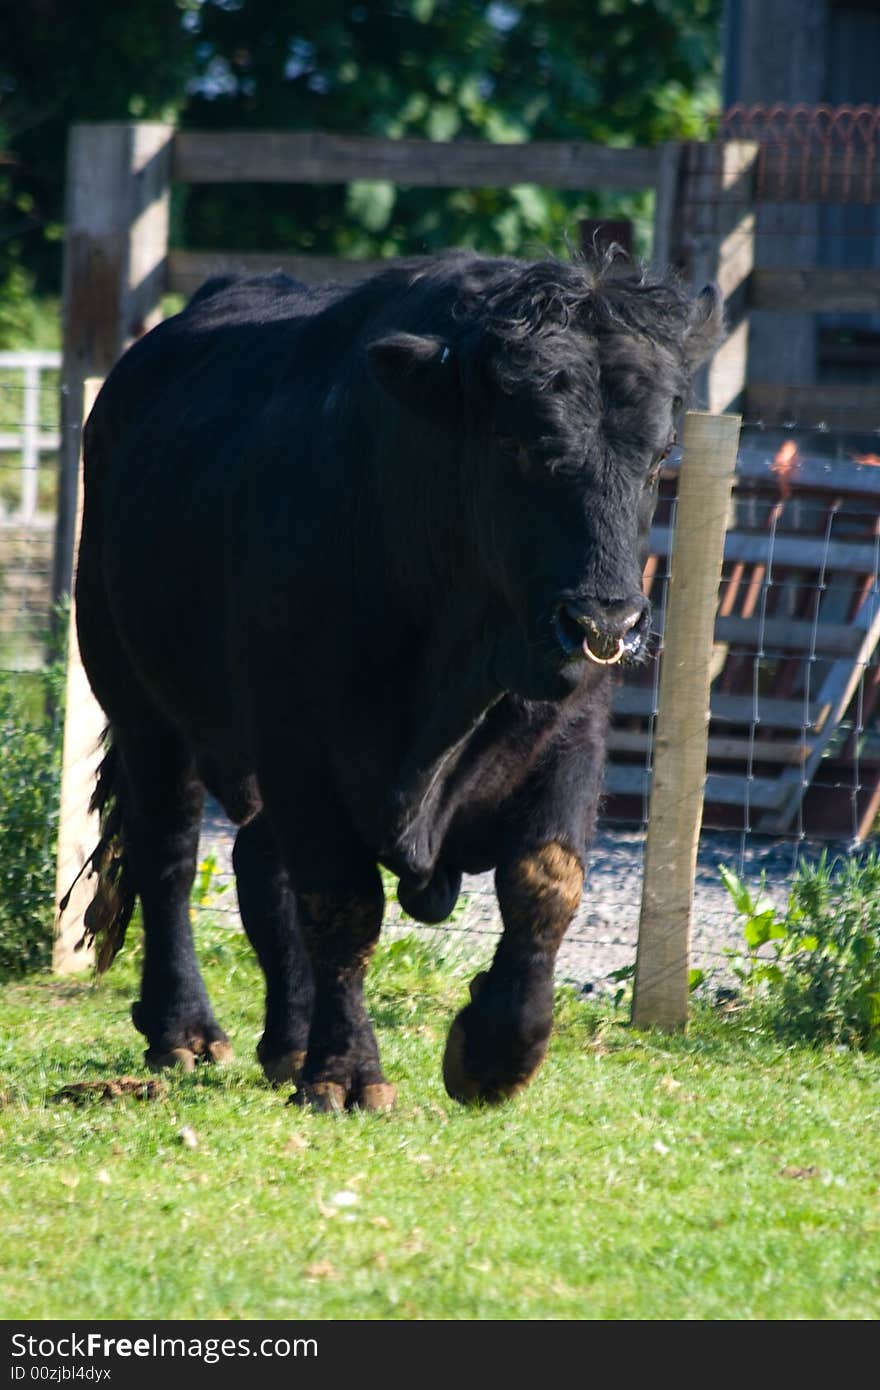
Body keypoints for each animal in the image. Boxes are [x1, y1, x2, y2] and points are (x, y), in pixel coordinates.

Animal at [73, 252, 722, 1106]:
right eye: (517, 444)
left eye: (658, 458)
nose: (604, 621)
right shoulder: (300, 739)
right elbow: (341, 902)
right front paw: (347, 1072)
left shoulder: (572, 733)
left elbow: (547, 880)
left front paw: (497, 1049)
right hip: (139, 701)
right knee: (171, 852)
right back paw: (186, 1027)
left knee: (257, 860)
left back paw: (289, 1039)